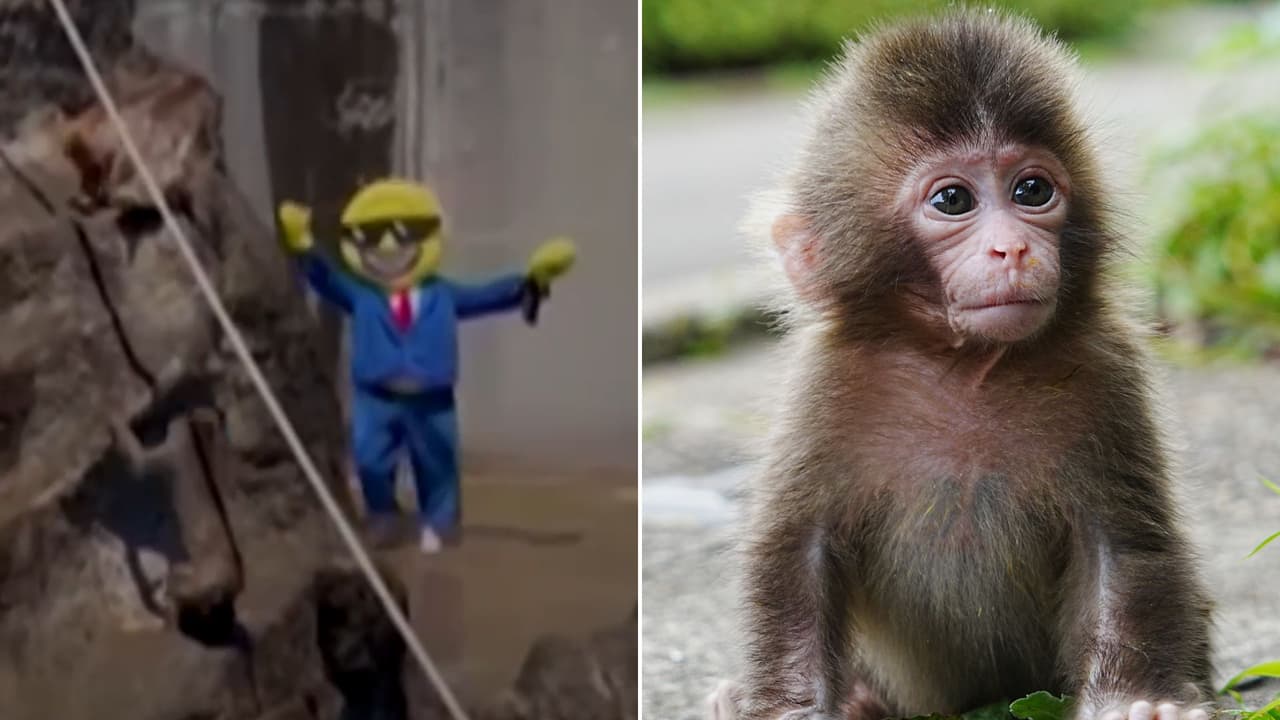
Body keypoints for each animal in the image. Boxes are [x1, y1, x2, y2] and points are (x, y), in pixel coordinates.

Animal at [706, 10, 1214, 720]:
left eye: (1032, 189)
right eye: (952, 201)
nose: (1013, 248)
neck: (966, 368)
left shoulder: (1107, 368)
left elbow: (1123, 543)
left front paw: (1133, 700)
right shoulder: (826, 387)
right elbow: (797, 554)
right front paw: (787, 707)